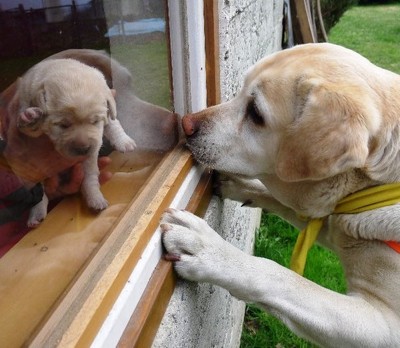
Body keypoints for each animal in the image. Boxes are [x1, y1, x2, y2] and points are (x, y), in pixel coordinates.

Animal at [161, 44, 400, 348]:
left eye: (255, 112)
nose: (186, 123)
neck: (370, 186)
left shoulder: (384, 326)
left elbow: (283, 278)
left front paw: (211, 250)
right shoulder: (337, 225)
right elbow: (284, 203)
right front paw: (238, 184)